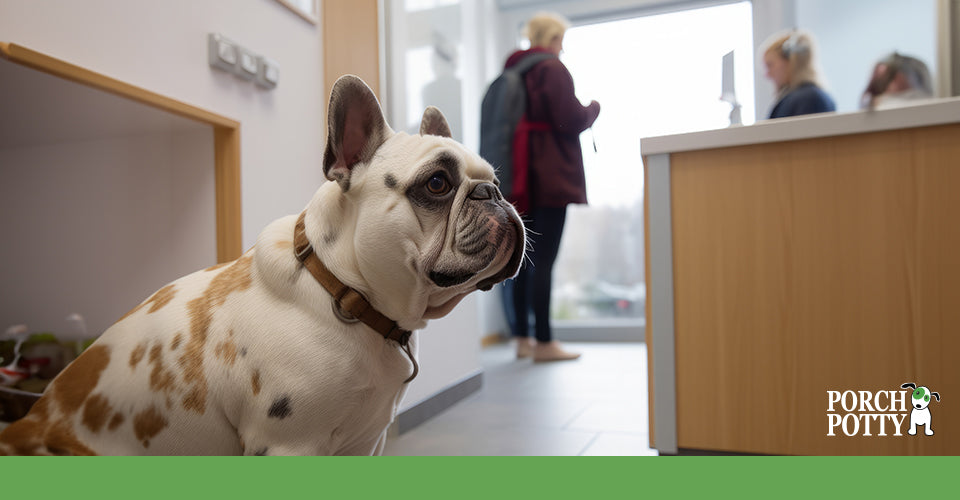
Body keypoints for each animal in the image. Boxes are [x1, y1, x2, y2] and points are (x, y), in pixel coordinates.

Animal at [0, 76, 524, 456]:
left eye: (495, 181)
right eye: (437, 184)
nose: (493, 195)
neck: (345, 293)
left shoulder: (364, 443)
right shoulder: (290, 446)